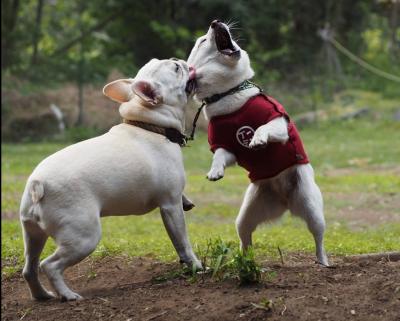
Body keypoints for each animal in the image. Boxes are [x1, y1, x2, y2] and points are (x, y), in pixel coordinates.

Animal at [188, 20, 328, 264]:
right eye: (203, 41)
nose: (215, 22)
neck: (229, 94)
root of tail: (285, 200)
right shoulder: (225, 147)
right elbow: (219, 156)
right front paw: (215, 171)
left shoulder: (278, 122)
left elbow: (263, 128)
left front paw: (258, 139)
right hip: (246, 216)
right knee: (246, 239)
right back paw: (245, 261)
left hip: (312, 208)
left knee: (318, 238)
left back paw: (323, 263)